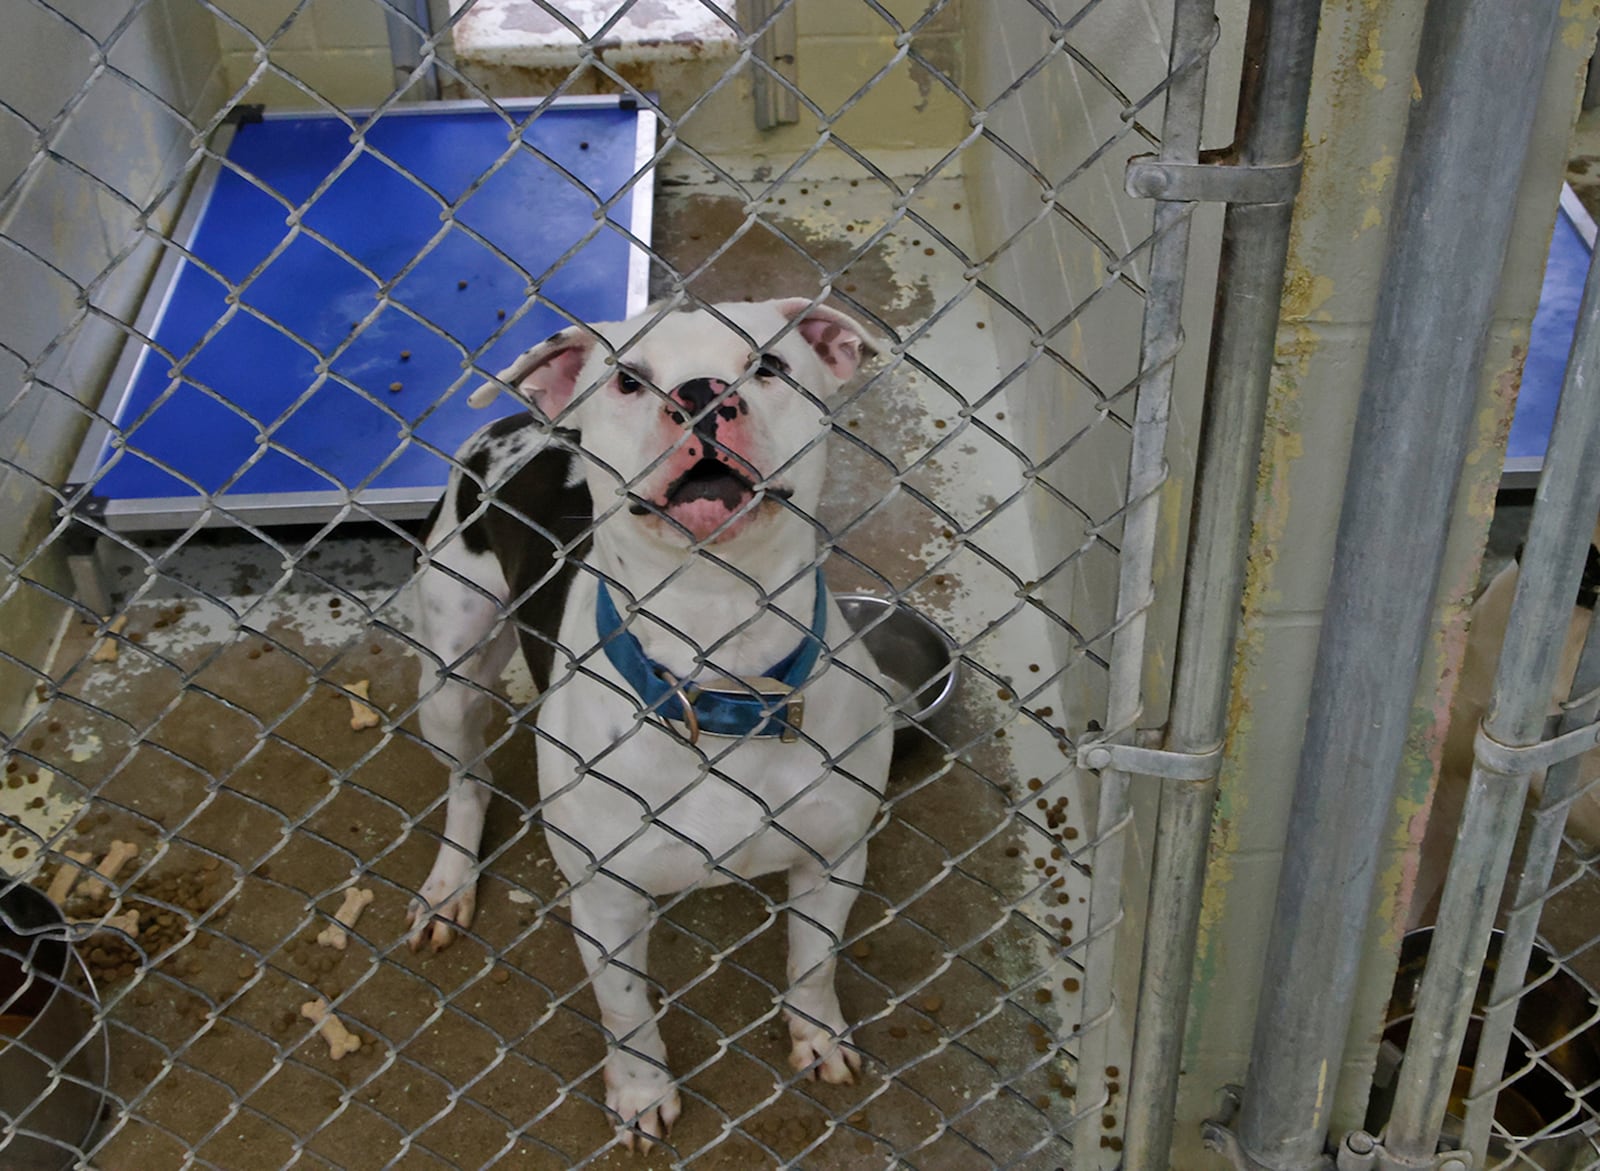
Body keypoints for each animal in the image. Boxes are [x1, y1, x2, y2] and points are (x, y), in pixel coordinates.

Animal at [406, 297, 896, 1145]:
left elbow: (814, 961)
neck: (721, 663)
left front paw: (819, 1033)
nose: (703, 393)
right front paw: (640, 1092)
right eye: (628, 379)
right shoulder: (604, 901)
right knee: (467, 778)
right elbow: (627, 1009)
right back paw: (448, 882)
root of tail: (517, 421)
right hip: (448, 676)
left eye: (769, 364)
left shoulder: (834, 856)